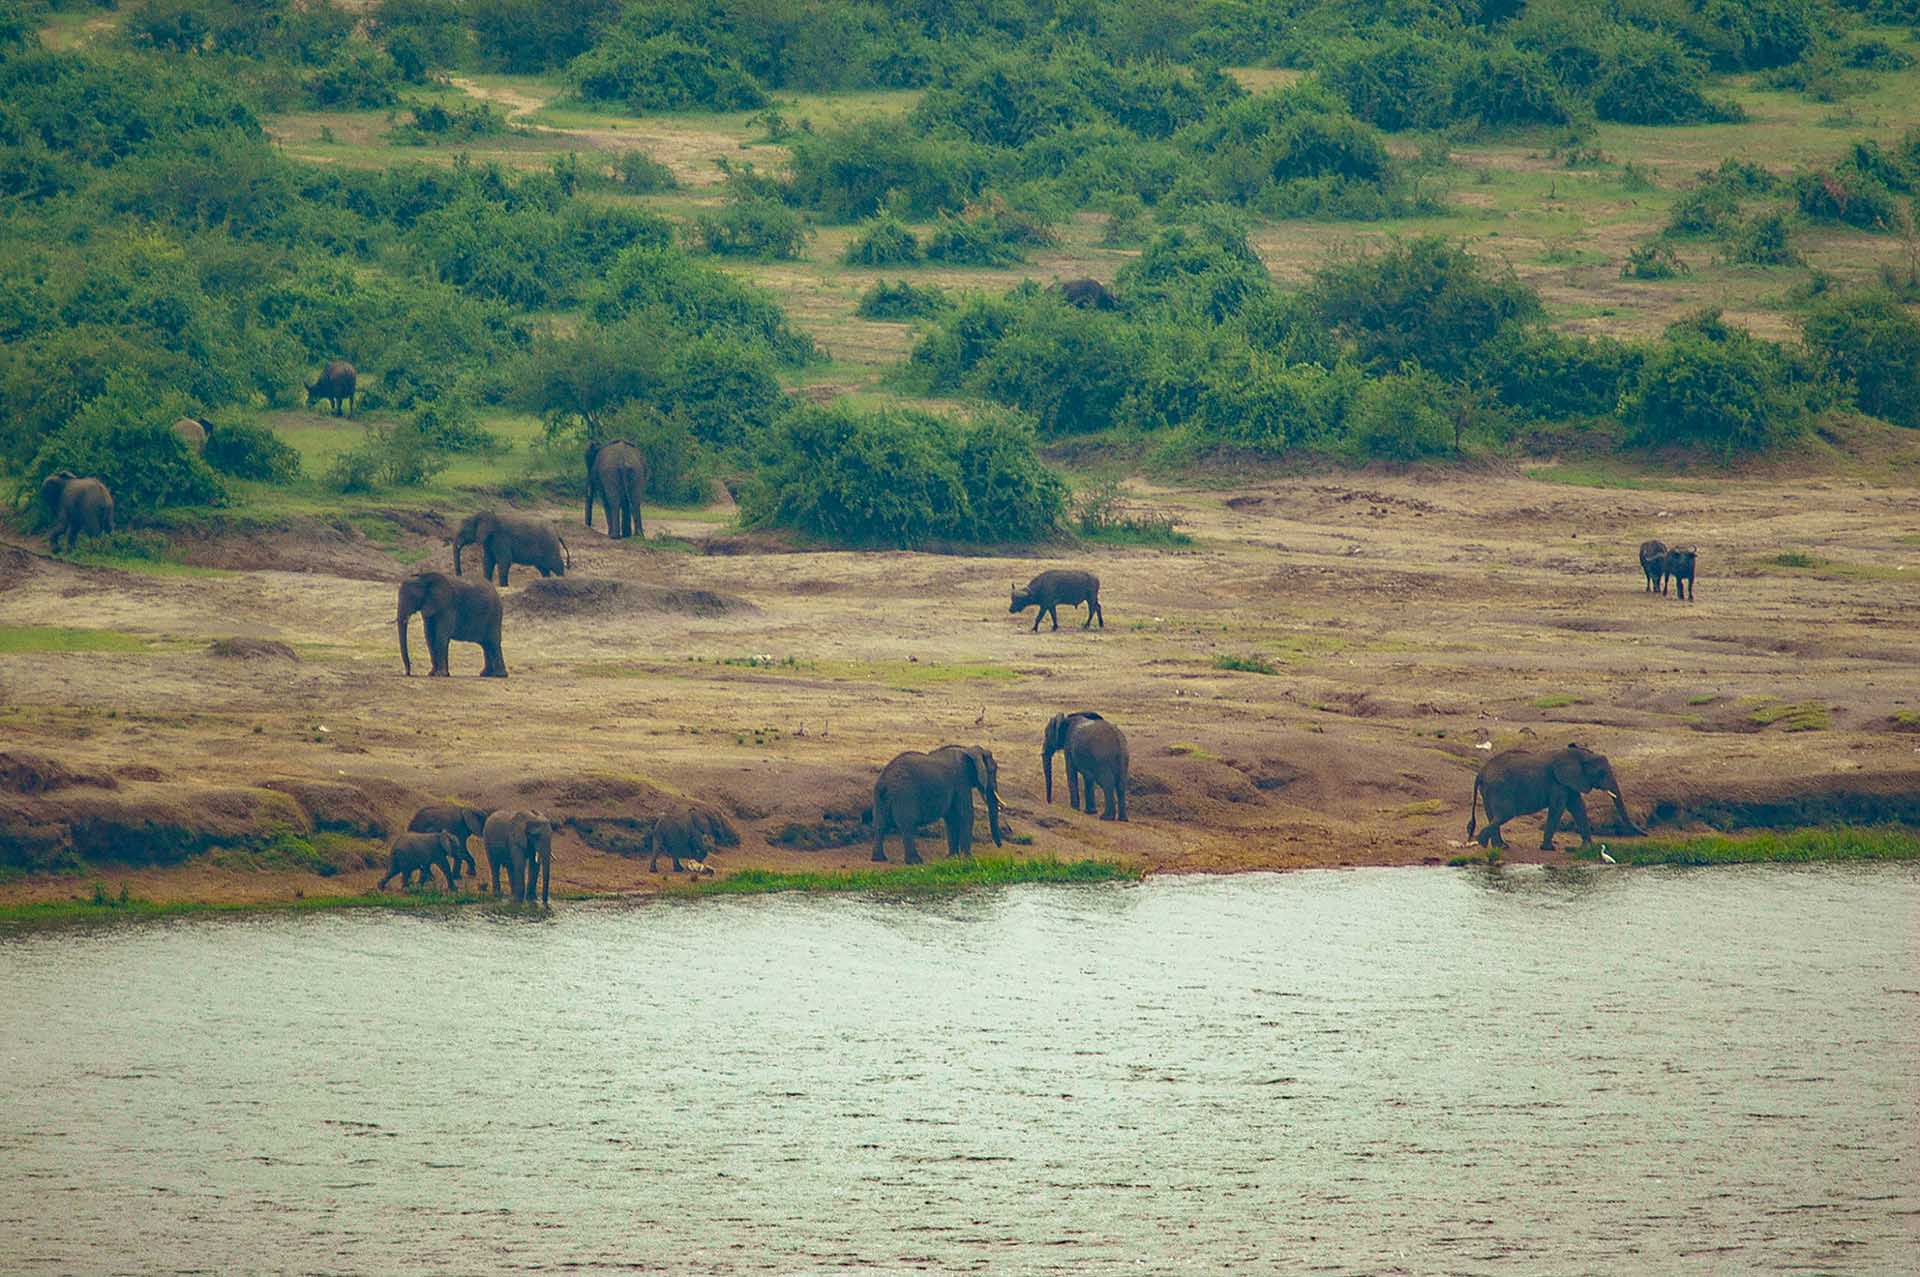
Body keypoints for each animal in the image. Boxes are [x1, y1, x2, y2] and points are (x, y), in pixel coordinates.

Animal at [871, 744, 1003, 864]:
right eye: (992, 770)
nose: (1000, 845)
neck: (968, 749)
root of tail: (885, 782)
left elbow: (951, 818)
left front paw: (952, 858)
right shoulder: (961, 781)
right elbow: (965, 815)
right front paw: (969, 859)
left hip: (880, 797)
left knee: (880, 825)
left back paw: (879, 859)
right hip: (904, 796)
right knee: (907, 826)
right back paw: (915, 861)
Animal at [1468, 743, 1645, 851]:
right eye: (1601, 773)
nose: (1646, 835)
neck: (1578, 755)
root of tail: (1481, 772)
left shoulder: (1569, 782)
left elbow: (1578, 807)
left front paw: (1587, 847)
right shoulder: (1558, 783)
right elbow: (1558, 808)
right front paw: (1548, 848)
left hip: (1489, 790)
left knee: (1494, 816)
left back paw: (1499, 846)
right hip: (1499, 788)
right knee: (1505, 814)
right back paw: (1484, 842)